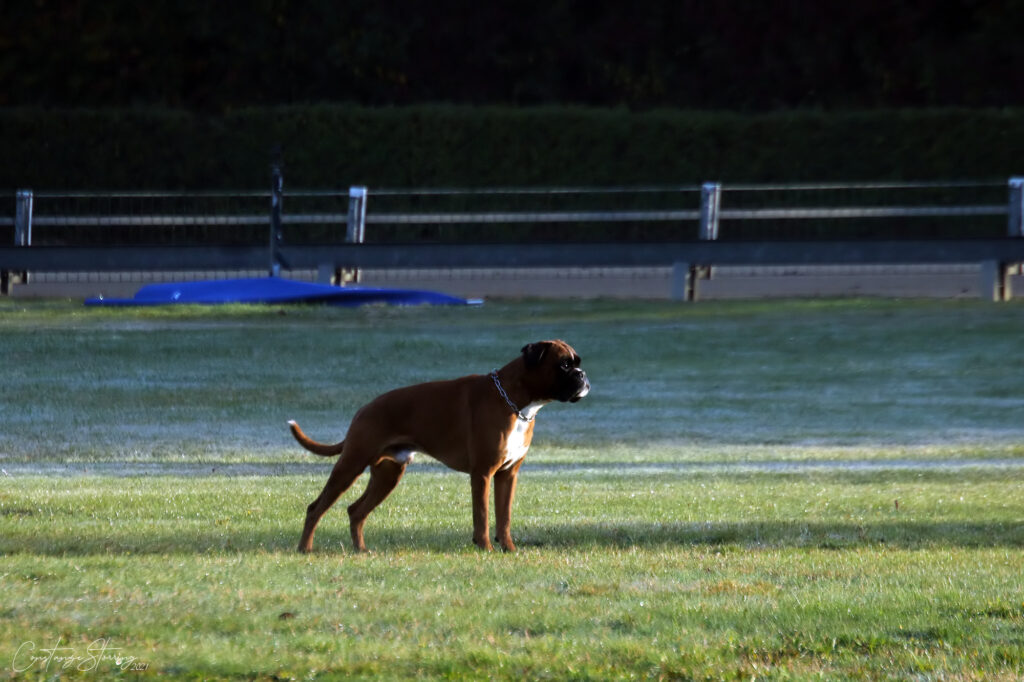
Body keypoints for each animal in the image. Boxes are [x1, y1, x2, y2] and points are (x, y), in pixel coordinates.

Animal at [290, 339, 593, 552]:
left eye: (576, 363)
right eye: (564, 365)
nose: (582, 374)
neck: (516, 401)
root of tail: (364, 408)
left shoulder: (507, 475)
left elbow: (504, 516)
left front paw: (509, 549)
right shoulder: (482, 474)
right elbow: (482, 515)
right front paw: (485, 548)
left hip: (388, 475)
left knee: (356, 511)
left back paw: (361, 550)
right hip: (351, 465)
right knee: (315, 508)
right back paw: (305, 549)